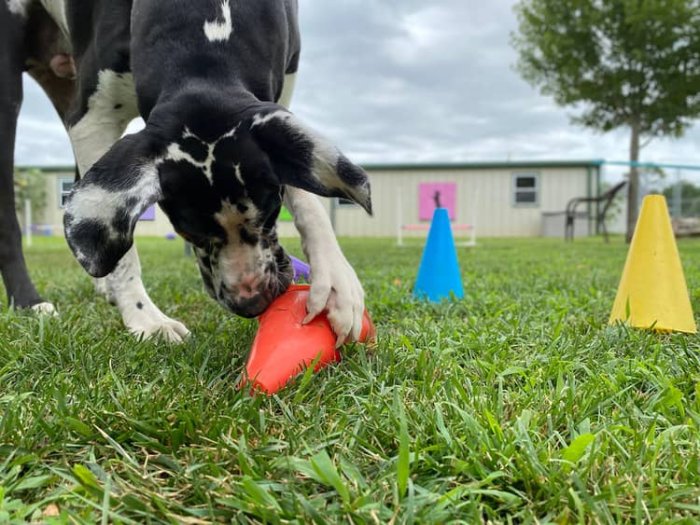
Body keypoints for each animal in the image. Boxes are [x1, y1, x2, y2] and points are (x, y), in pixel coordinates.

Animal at [1, 1, 372, 344]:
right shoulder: (92, 118)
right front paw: (145, 319)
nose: (251, 303)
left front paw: (336, 282)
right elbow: (123, 252)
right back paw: (30, 302)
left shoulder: (280, 93)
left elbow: (305, 194)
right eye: (189, 231)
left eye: (269, 213)